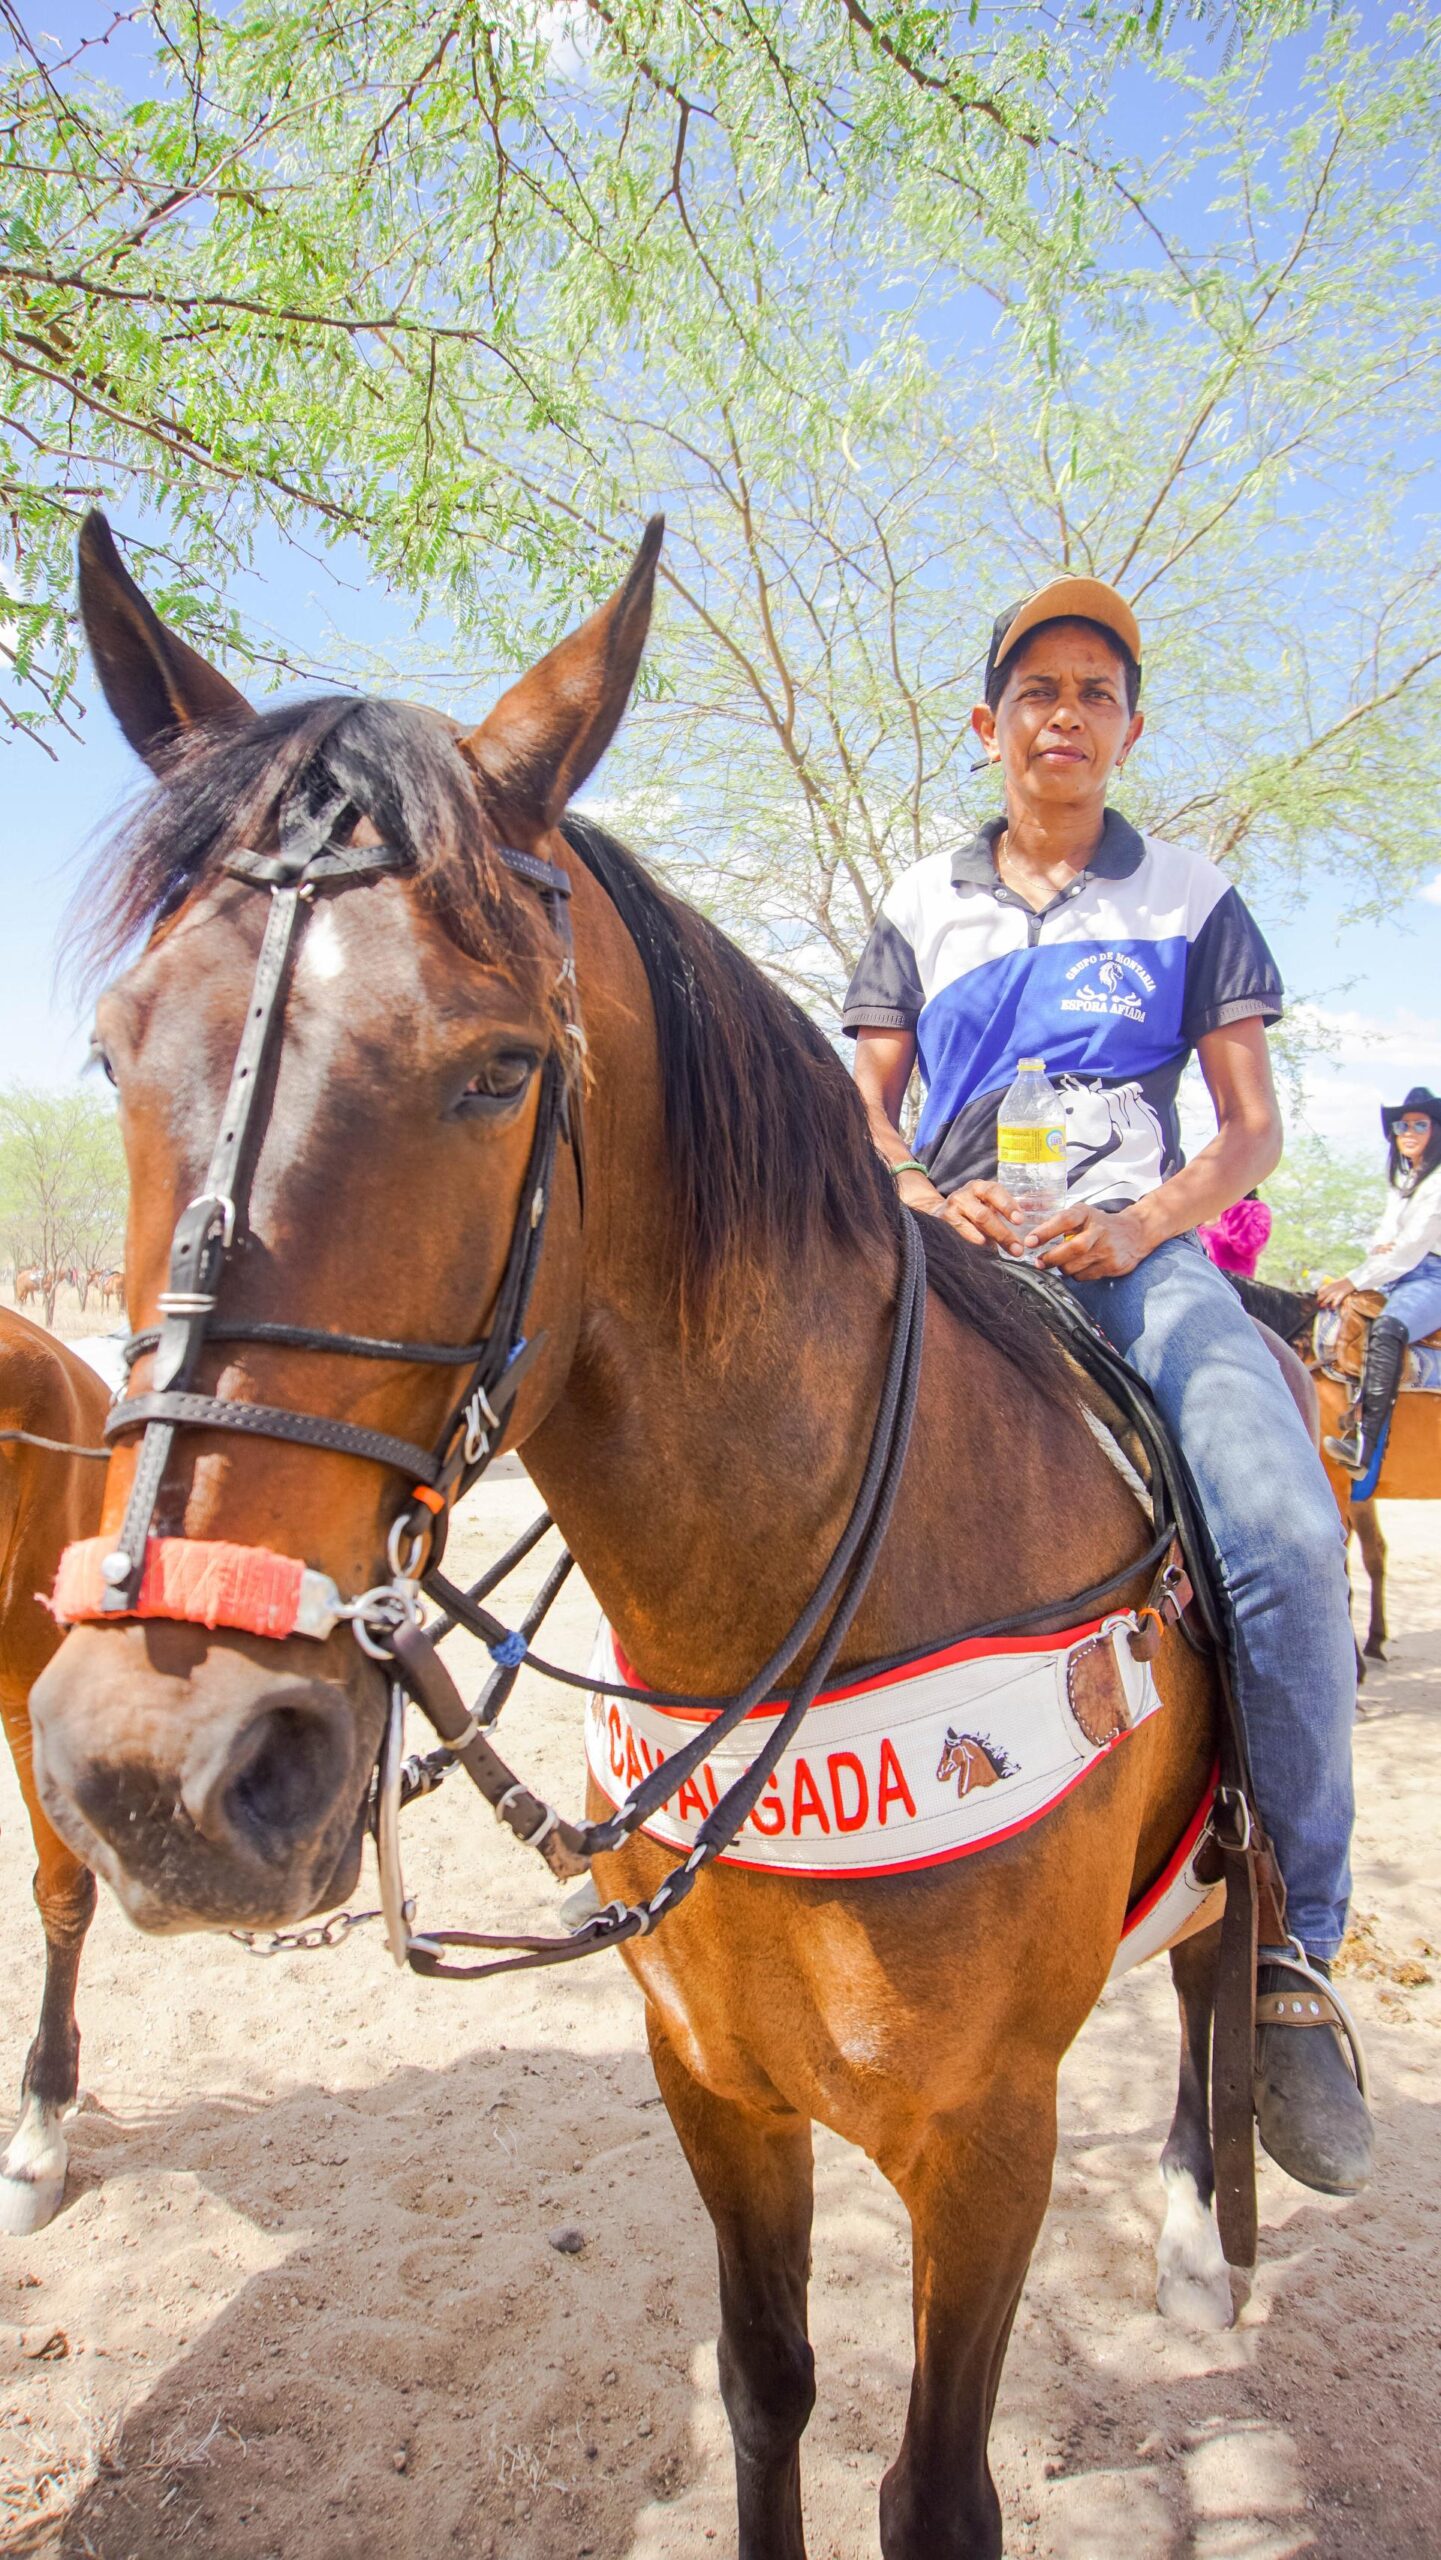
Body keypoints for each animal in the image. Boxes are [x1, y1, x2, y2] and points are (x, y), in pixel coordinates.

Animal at [33, 512, 1255, 2558]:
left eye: (499, 1068)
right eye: (124, 1050)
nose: (158, 1767)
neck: (801, 1610)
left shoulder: (991, 2140)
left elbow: (937, 2494)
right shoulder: (716, 2088)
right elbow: (765, 2394)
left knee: (1225, 1965)